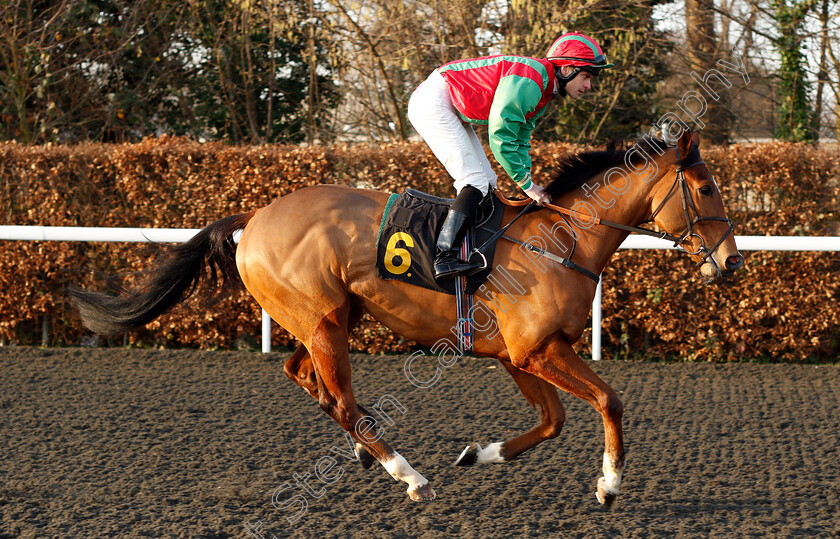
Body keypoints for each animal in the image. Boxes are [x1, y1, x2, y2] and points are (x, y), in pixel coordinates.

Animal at [70, 130, 740, 506]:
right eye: (707, 188)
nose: (732, 261)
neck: (563, 239)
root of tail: (253, 218)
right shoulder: (538, 350)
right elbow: (609, 402)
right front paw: (609, 485)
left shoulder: (517, 355)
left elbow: (551, 421)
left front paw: (480, 454)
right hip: (323, 321)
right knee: (338, 398)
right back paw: (404, 472)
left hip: (329, 318)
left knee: (305, 377)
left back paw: (370, 452)